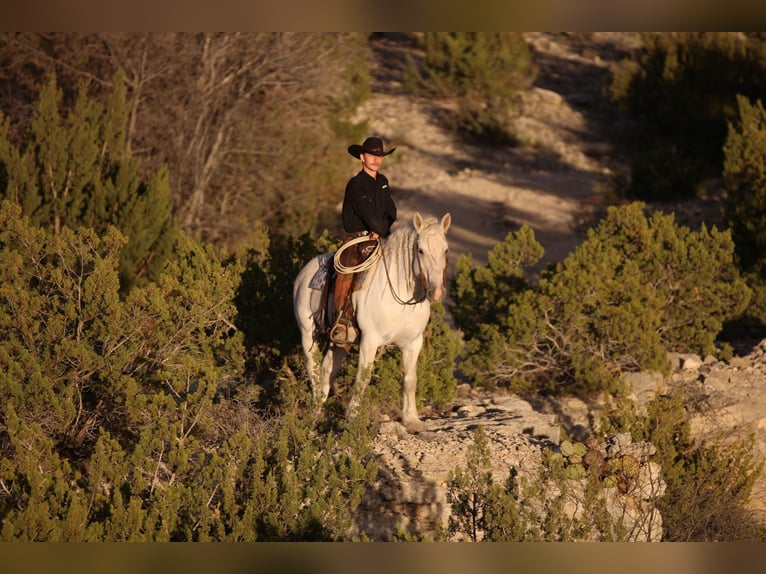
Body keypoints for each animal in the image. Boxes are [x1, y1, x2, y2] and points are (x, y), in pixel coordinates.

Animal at [292, 212, 450, 432]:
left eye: (445, 250)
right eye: (420, 250)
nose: (436, 292)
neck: (400, 294)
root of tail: (304, 272)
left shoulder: (413, 343)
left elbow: (410, 380)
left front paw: (412, 419)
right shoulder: (370, 340)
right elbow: (363, 378)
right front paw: (352, 417)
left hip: (338, 341)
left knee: (326, 371)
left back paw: (319, 413)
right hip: (308, 333)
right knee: (313, 369)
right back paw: (314, 414)